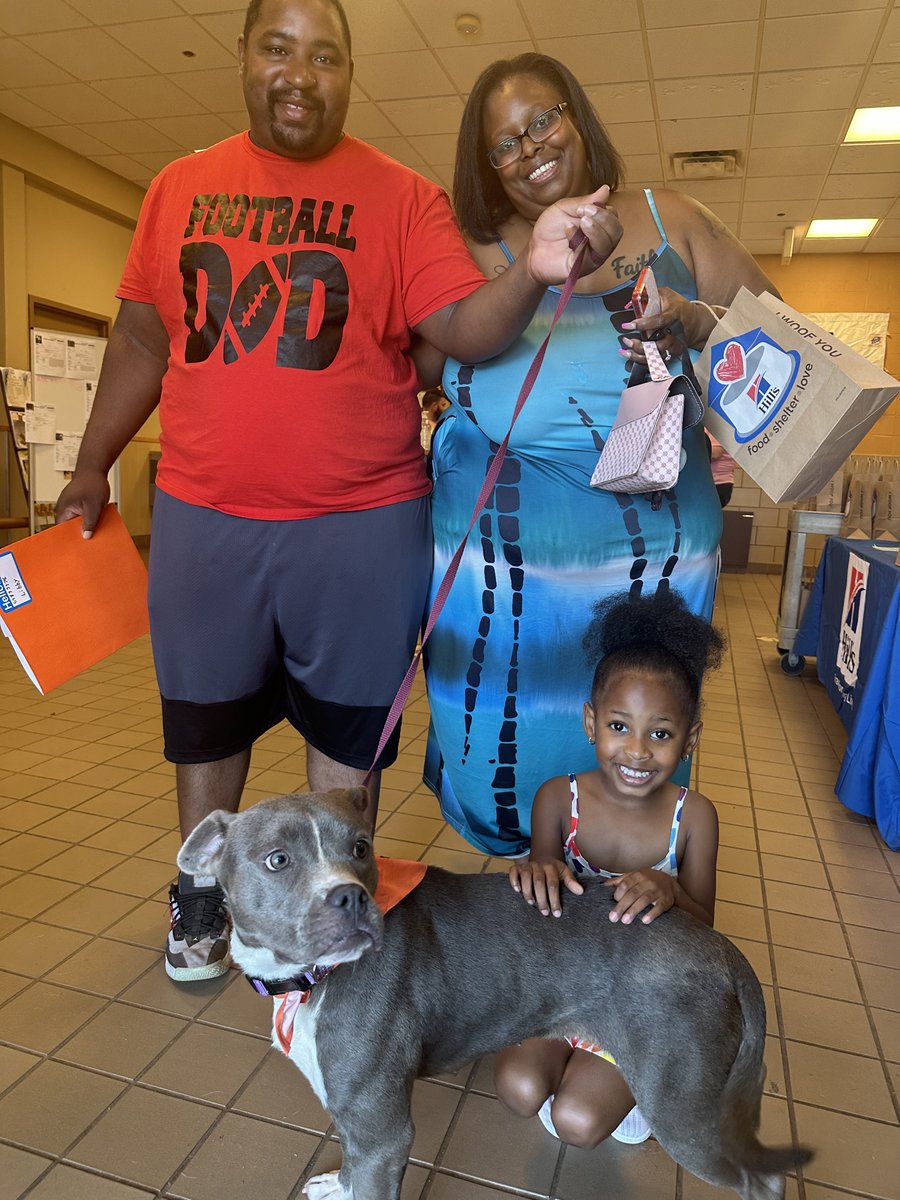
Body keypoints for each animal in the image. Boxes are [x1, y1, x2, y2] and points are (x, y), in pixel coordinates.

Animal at [180, 787, 816, 1200]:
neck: (315, 978)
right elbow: (352, 1166)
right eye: (277, 860)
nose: (351, 897)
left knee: (764, 1178)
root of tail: (723, 950)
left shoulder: (384, 1131)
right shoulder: (356, 1114)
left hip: (683, 1110)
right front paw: (338, 1185)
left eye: (360, 847)